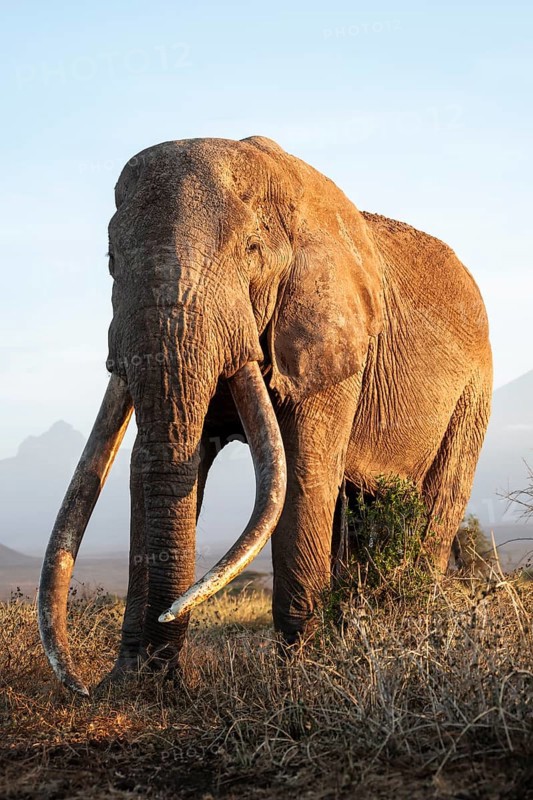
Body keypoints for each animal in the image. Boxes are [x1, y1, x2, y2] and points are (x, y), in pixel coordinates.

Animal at [38, 136, 492, 695]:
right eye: (110, 258)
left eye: (251, 250)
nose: (88, 687)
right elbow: (151, 467)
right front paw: (128, 684)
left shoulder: (331, 341)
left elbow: (303, 474)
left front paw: (302, 681)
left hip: (473, 393)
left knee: (435, 507)